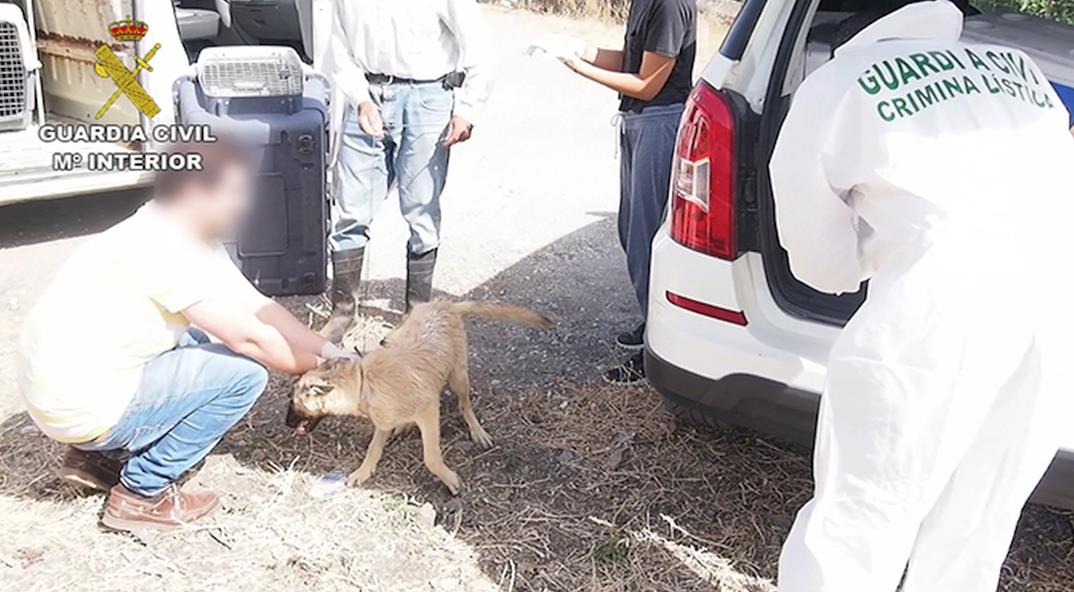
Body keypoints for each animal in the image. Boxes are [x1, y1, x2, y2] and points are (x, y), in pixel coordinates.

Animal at [285, 300, 554, 492]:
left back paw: (476, 430)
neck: (363, 382)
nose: (286, 423)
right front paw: (363, 471)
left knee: (465, 405)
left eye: (294, 403)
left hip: (458, 375)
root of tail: (443, 303)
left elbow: (431, 457)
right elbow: (374, 447)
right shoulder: (384, 420)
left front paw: (450, 479)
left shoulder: (428, 409)